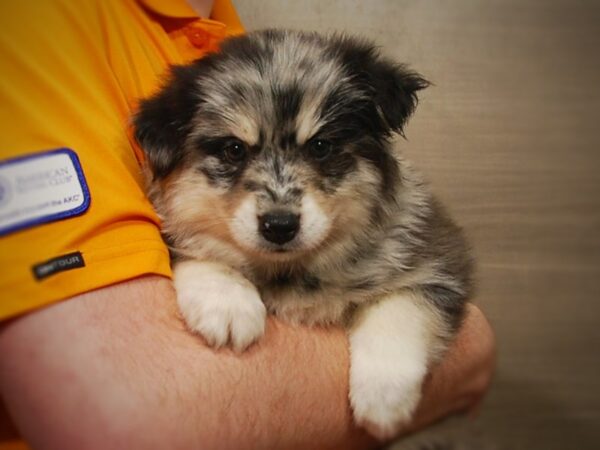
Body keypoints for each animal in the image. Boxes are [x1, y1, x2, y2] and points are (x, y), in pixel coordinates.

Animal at [134, 29, 472, 440]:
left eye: (320, 146)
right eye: (233, 149)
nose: (279, 226)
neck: (293, 270)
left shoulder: (438, 261)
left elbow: (401, 310)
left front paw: (384, 398)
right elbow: (198, 252)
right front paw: (228, 303)